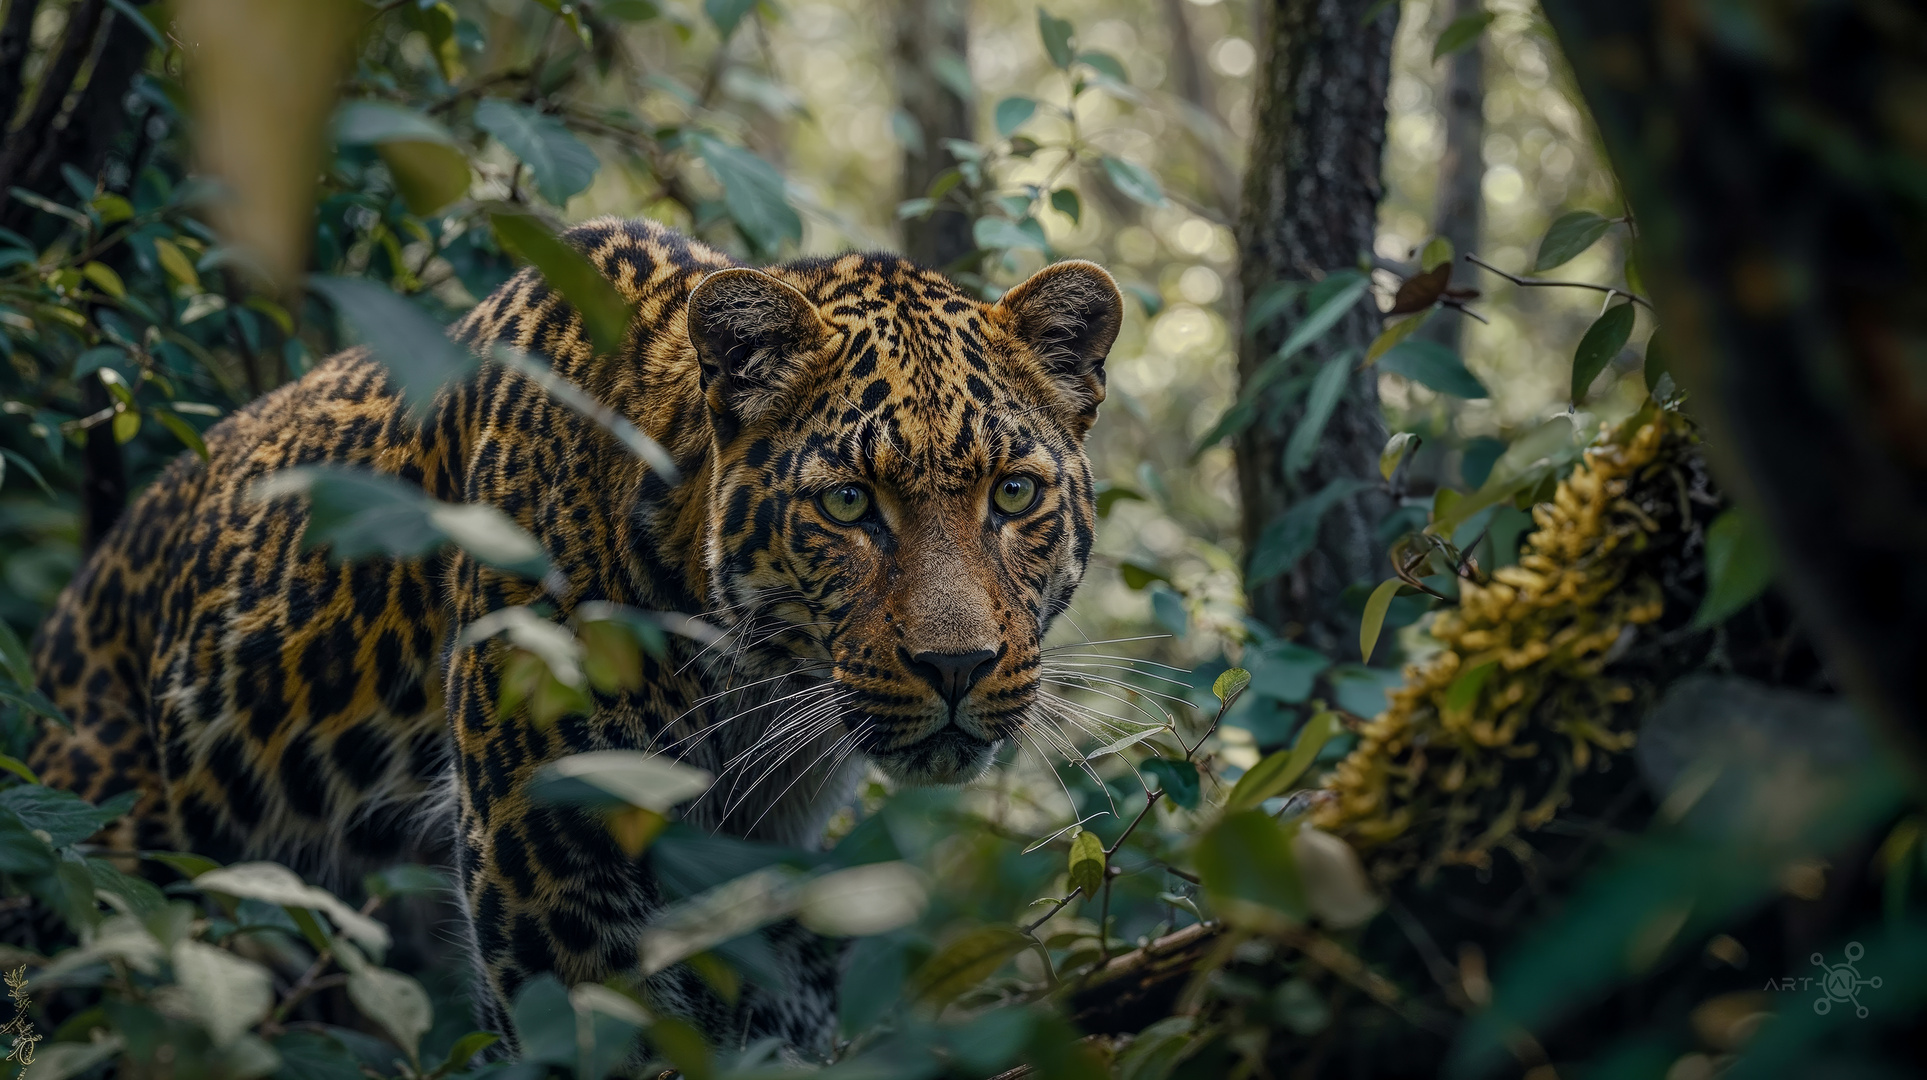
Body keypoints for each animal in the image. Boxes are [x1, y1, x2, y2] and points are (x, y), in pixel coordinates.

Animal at [22, 216, 1125, 1056]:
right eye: (849, 503)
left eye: (1013, 494)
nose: (957, 667)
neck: (753, 689)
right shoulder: (547, 860)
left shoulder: (753, 865)